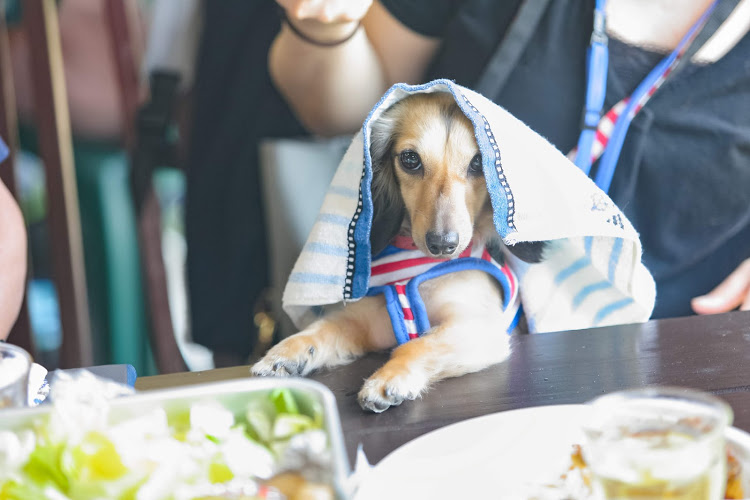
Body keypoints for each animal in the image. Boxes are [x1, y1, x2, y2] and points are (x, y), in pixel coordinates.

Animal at [253, 92, 548, 412]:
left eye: (480, 161)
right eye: (410, 159)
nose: (442, 244)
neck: (418, 265)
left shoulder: (481, 326)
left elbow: (419, 344)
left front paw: (390, 377)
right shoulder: (369, 321)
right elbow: (321, 329)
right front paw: (285, 353)